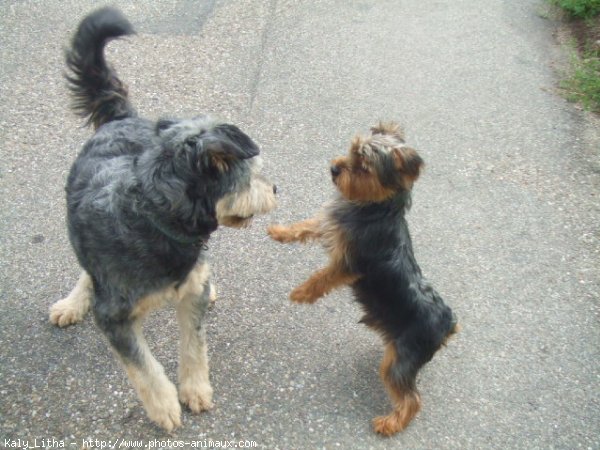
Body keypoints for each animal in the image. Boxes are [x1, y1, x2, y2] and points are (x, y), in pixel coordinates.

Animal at [50, 6, 278, 428]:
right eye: (253, 174)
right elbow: (142, 367)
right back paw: (73, 302)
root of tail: (120, 118)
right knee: (87, 269)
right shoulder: (115, 318)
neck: (156, 217)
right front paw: (164, 406)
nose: (275, 190)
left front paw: (195, 389)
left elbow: (194, 344)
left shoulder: (191, 295)